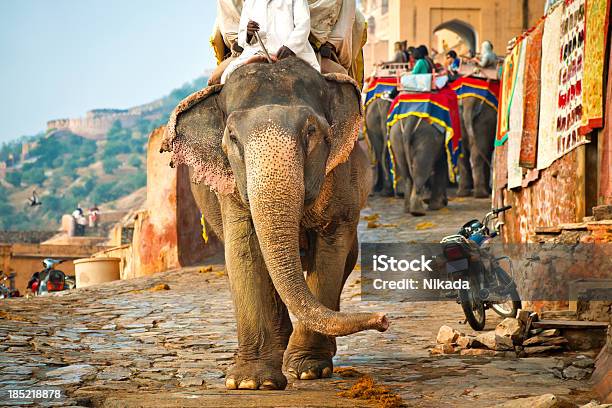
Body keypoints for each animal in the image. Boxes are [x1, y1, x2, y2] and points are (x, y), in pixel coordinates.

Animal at [161, 58, 388, 392]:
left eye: (311, 131)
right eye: (233, 138)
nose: (383, 319)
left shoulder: (341, 174)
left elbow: (331, 248)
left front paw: (307, 369)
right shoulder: (230, 186)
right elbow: (244, 247)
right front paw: (250, 383)